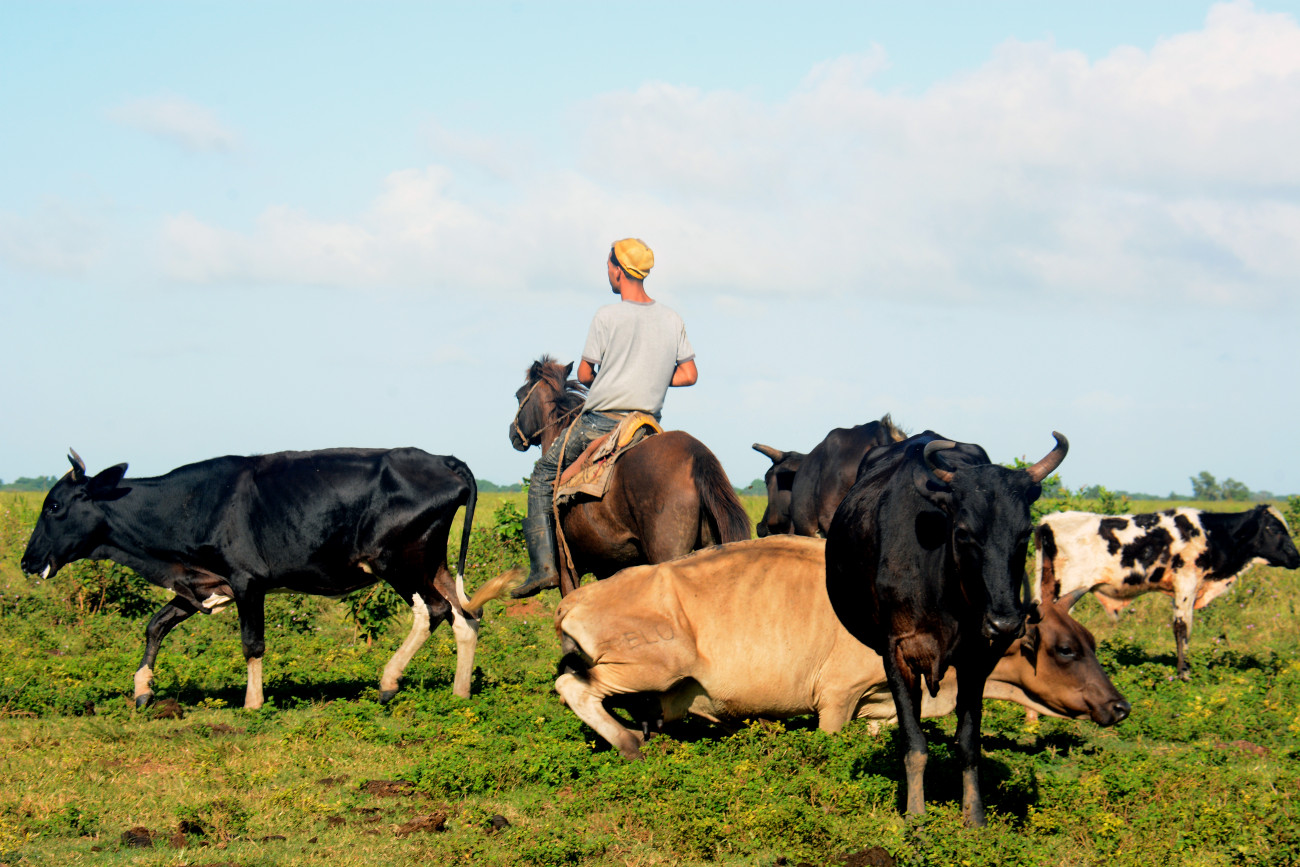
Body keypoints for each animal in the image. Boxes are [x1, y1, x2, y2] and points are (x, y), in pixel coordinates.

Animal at [20, 449, 515, 709]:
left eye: (54, 506)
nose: (27, 562)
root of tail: (441, 459)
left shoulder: (245, 581)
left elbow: (251, 643)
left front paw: (252, 702)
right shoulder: (203, 582)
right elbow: (155, 624)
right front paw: (142, 689)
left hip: (397, 560)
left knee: (432, 610)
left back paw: (389, 681)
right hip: (432, 562)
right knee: (465, 617)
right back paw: (460, 691)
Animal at [554, 536, 1128, 761]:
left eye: (1091, 642)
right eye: (1064, 650)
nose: (1120, 706)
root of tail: (577, 597)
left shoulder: (883, 703)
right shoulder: (835, 698)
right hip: (650, 667)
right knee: (573, 687)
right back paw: (628, 742)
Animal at [824, 430, 1067, 826]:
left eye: (1024, 533)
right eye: (965, 533)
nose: (1005, 623)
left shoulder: (977, 659)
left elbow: (968, 743)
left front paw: (975, 818)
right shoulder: (897, 653)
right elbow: (914, 743)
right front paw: (916, 819)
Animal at [1035, 505, 1299, 679]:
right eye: (1274, 528)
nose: (1296, 557)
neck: (1209, 533)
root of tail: (1050, 520)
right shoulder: (1186, 582)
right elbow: (1182, 627)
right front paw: (1184, 672)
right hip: (1068, 586)